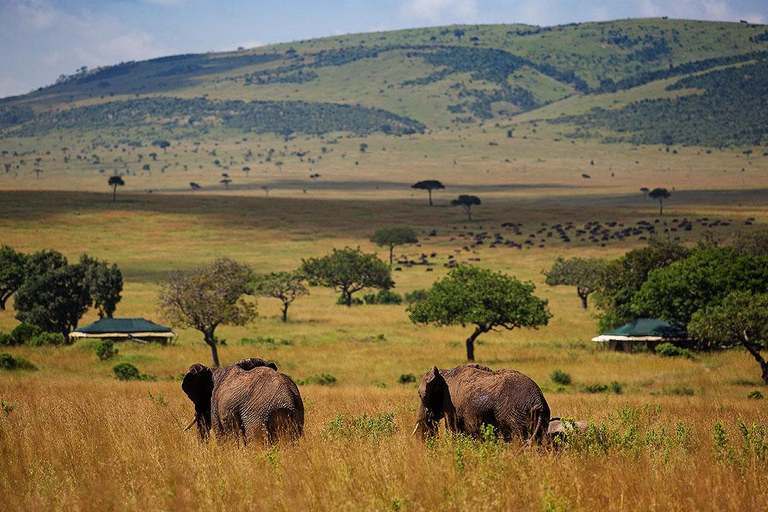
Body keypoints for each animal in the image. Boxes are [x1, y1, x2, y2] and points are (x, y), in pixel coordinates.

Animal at [414, 362, 552, 442]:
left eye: (420, 395)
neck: (444, 373)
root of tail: (538, 401)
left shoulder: (449, 403)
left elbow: (453, 430)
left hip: (516, 416)